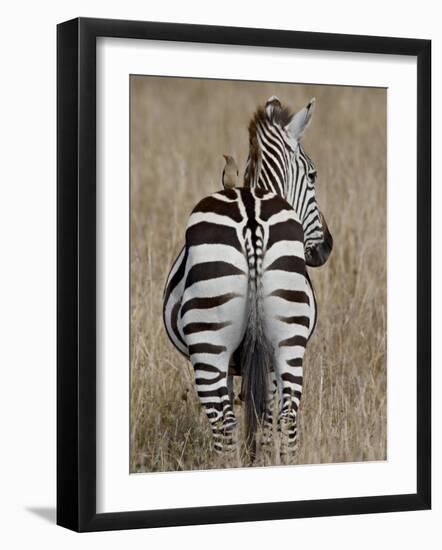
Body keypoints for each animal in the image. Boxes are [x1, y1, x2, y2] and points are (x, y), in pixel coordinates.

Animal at [162, 97, 332, 460]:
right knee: (287, 414)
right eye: (313, 175)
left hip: (209, 343)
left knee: (224, 423)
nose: (327, 246)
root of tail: (252, 219)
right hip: (287, 338)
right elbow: (263, 419)